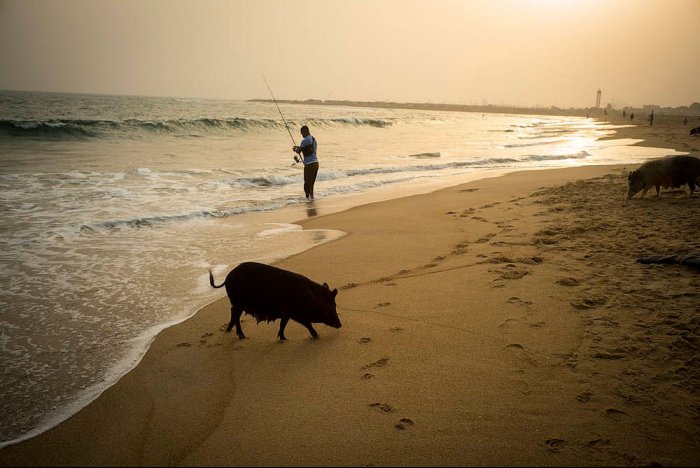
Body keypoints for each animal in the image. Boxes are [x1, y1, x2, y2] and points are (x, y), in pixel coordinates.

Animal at [206, 260, 340, 340]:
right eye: (332, 306)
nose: (340, 324)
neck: (310, 298)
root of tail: (227, 278)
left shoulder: (286, 313)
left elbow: (283, 324)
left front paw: (283, 338)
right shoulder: (296, 314)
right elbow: (307, 324)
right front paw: (316, 336)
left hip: (237, 303)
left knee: (233, 313)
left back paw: (229, 330)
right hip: (238, 302)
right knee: (236, 316)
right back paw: (242, 336)